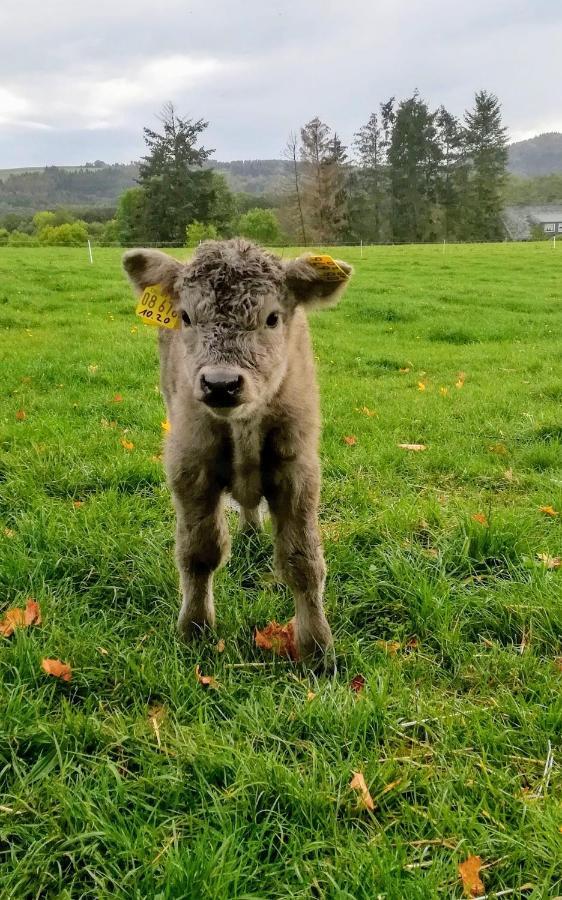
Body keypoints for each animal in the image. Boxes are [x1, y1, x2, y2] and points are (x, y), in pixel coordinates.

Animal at [122, 243, 350, 664]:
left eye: (272, 318)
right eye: (186, 316)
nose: (221, 384)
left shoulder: (298, 471)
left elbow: (303, 562)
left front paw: (317, 648)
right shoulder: (189, 467)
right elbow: (198, 553)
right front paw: (194, 628)